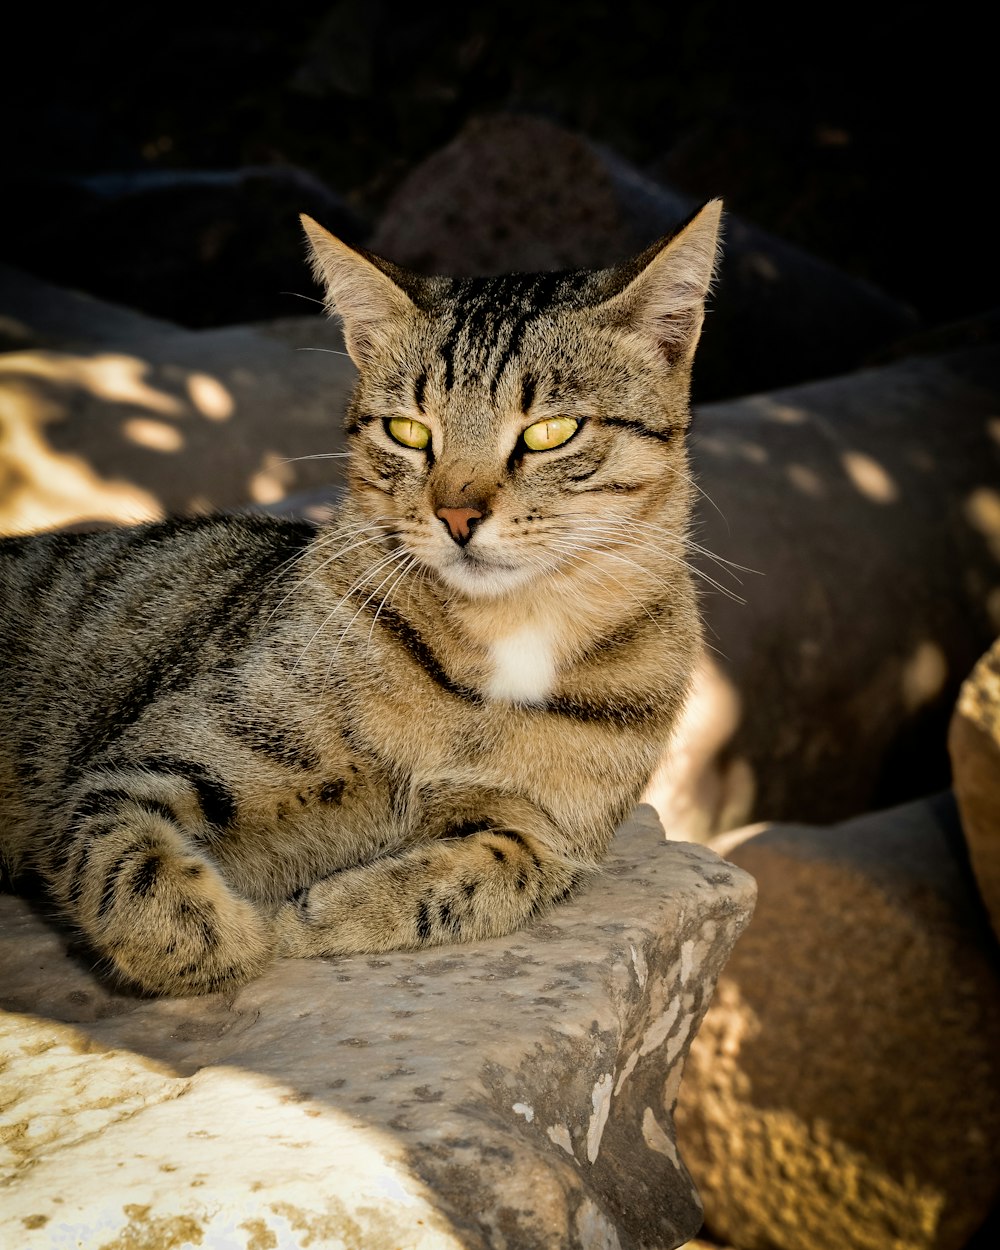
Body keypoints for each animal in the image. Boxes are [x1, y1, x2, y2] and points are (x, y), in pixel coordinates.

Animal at [0, 197, 720, 995]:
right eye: (408, 431)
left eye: (550, 432)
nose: (457, 516)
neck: (506, 639)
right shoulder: (145, 766)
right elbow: (127, 859)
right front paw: (233, 937)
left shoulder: (550, 836)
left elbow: (472, 881)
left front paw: (314, 916)